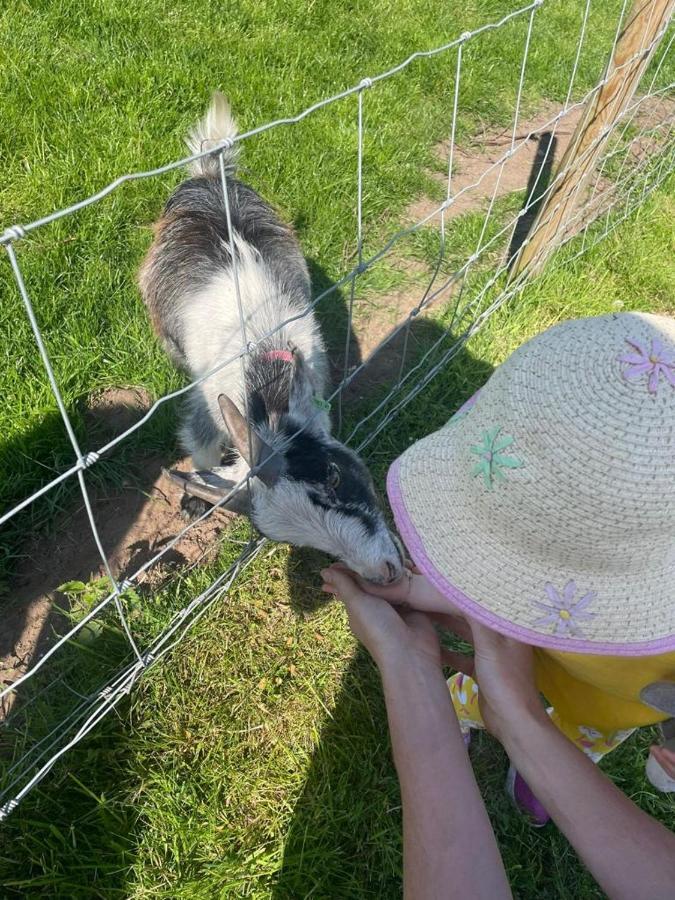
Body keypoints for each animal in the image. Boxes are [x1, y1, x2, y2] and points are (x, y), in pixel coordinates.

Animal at [136, 91, 402, 584]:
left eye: (333, 475)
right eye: (291, 540)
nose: (386, 573)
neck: (260, 350)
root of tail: (209, 175)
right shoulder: (204, 402)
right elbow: (200, 447)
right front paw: (194, 500)